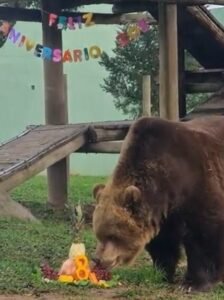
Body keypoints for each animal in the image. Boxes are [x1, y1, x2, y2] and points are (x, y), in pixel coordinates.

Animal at [93, 116, 224, 292]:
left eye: (113, 235)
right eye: (98, 233)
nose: (98, 259)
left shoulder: (198, 182)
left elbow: (204, 234)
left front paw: (194, 283)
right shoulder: (161, 213)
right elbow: (163, 242)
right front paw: (162, 272)